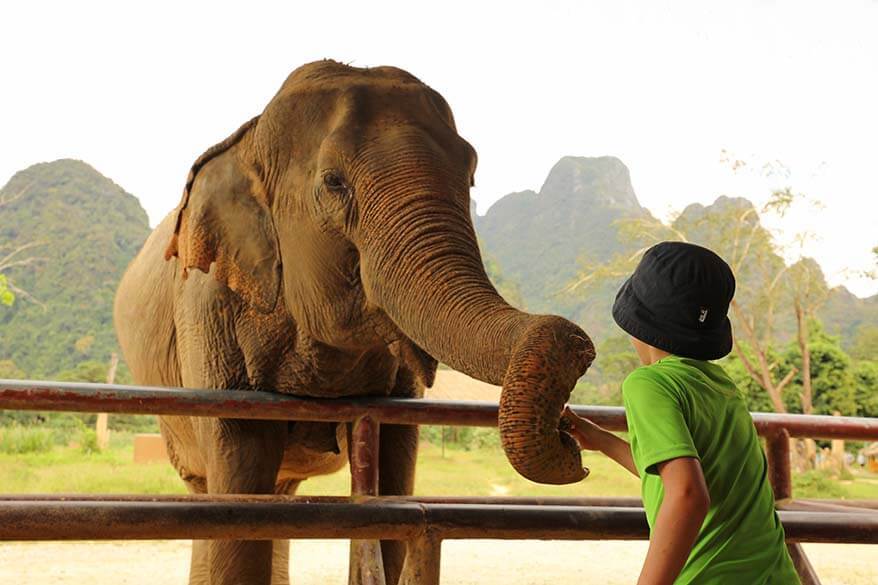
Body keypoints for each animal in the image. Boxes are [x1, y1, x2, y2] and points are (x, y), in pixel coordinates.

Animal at [115, 60, 600, 584]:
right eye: (333, 182)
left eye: (471, 172)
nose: (572, 438)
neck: (250, 139)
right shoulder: (209, 310)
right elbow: (240, 474)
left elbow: (393, 468)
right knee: (208, 491)